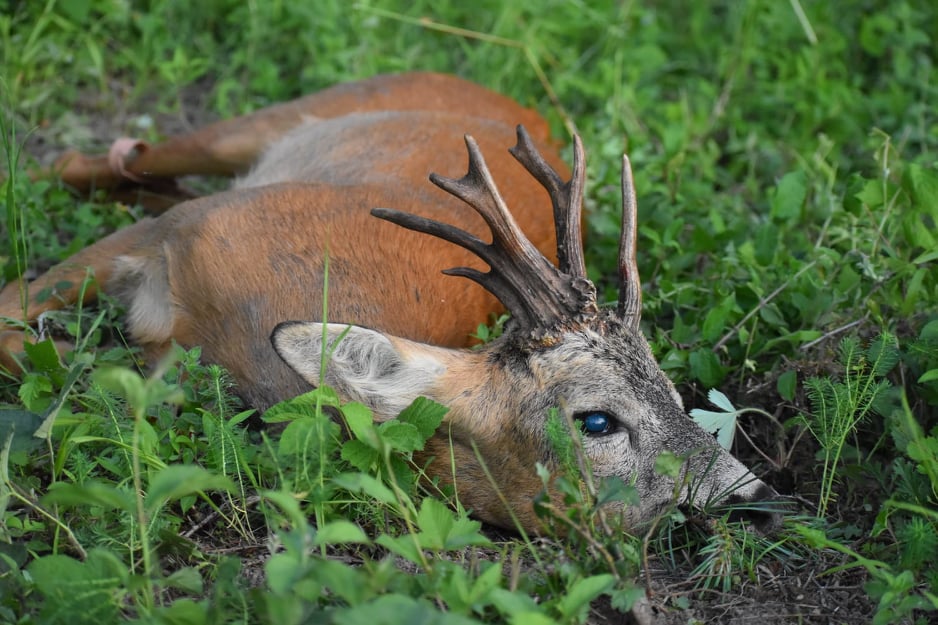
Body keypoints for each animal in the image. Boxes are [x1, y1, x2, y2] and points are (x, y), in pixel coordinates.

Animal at [3, 72, 780, 532]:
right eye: (595, 419)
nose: (755, 496)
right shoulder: (182, 231)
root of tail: (523, 110)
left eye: (674, 392)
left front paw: (97, 367)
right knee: (94, 163)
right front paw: (78, 358)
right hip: (272, 123)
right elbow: (13, 310)